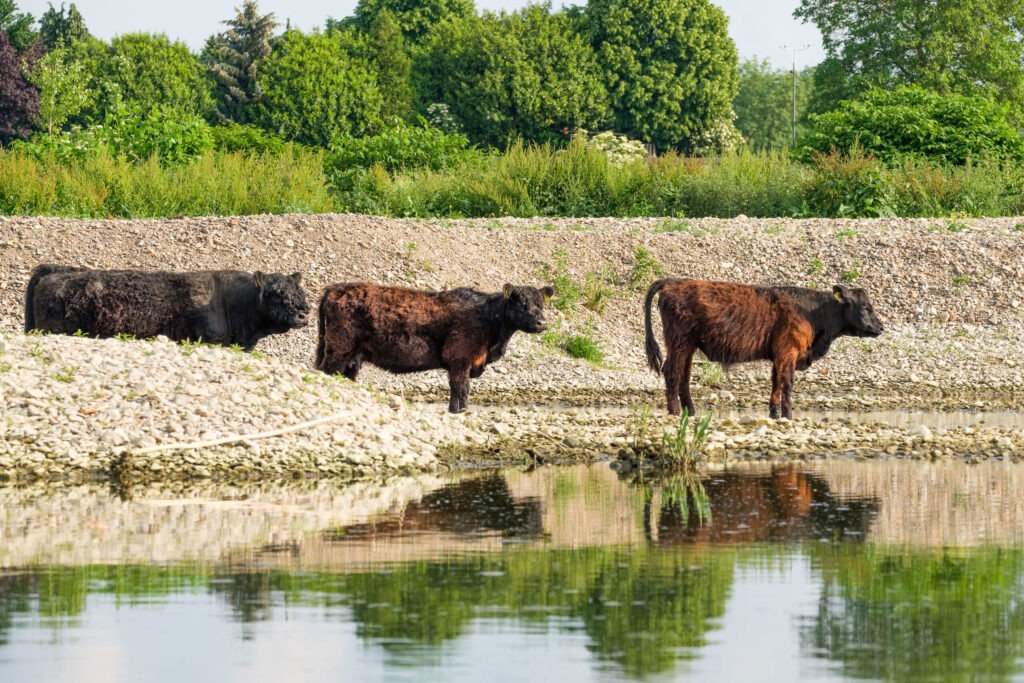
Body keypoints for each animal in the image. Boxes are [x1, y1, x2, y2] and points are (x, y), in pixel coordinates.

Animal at [315, 282, 552, 411]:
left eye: (541, 304)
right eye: (522, 304)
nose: (542, 323)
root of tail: (335, 289)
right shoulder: (459, 359)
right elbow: (460, 389)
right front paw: (460, 411)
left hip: (352, 357)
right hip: (338, 350)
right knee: (326, 372)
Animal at [643, 276, 884, 417]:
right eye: (865, 307)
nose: (880, 327)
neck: (813, 312)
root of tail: (672, 283)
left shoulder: (779, 356)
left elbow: (775, 382)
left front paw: (774, 412)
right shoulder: (788, 352)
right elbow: (787, 383)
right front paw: (788, 414)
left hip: (688, 347)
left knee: (684, 375)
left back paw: (690, 410)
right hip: (679, 343)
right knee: (672, 372)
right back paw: (675, 412)